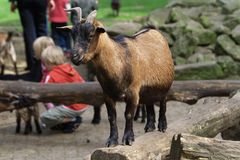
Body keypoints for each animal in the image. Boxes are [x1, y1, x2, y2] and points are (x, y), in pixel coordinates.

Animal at [64, 8, 175, 147]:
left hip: (165, 84)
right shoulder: (107, 94)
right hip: (146, 90)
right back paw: (149, 127)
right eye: (73, 35)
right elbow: (112, 117)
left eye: (91, 35)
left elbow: (129, 114)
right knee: (149, 104)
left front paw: (128, 139)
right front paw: (112, 140)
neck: (119, 62)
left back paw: (162, 126)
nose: (75, 57)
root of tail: (153, 30)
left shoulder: (133, 92)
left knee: (163, 102)